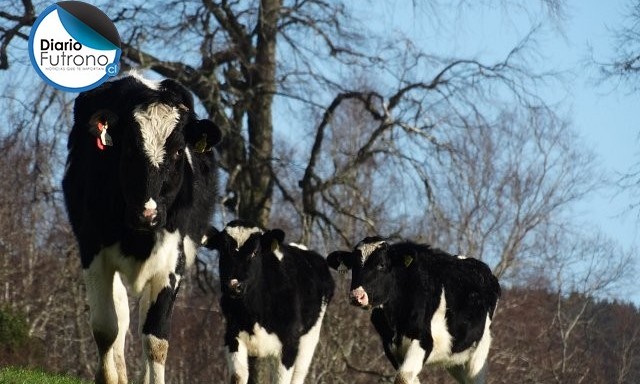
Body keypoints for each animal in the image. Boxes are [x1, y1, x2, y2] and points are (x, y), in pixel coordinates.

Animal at [62, 73, 222, 384]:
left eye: (177, 152)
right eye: (129, 148)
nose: (147, 214)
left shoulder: (172, 262)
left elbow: (156, 339)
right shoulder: (93, 250)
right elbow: (106, 327)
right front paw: (107, 377)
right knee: (122, 319)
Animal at [204, 220, 336, 382]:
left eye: (255, 252)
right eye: (223, 251)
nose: (233, 286)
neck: (253, 313)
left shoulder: (289, 344)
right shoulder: (232, 336)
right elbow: (238, 376)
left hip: (309, 338)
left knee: (299, 375)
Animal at [330, 237, 500, 384]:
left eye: (381, 265)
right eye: (354, 265)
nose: (356, 295)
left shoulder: (423, 340)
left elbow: (403, 378)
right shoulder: (390, 346)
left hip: (478, 354)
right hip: (454, 358)